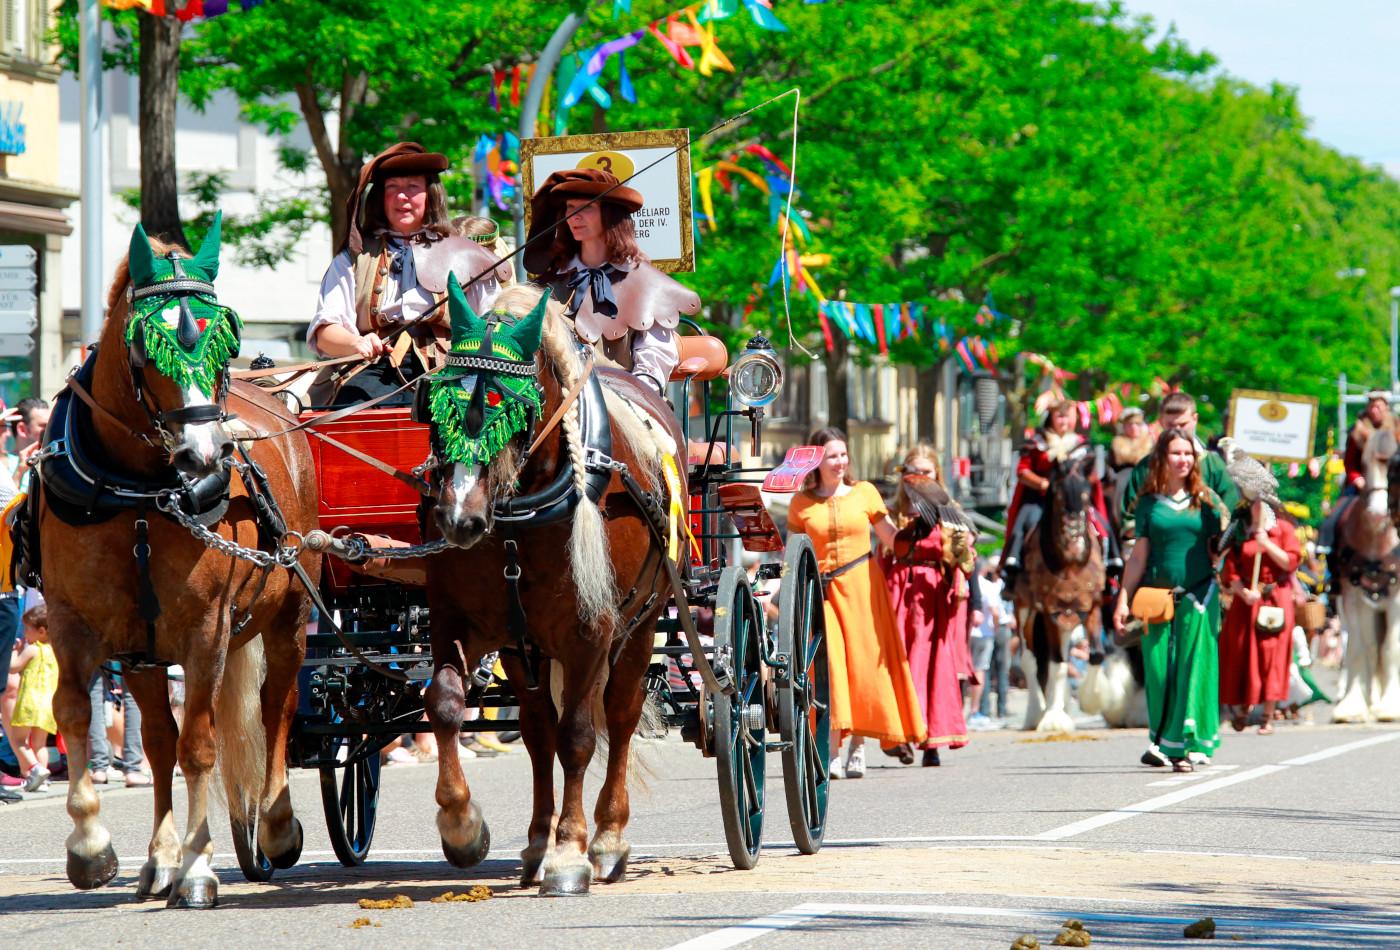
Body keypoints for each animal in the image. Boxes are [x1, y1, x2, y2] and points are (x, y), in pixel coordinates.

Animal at [28, 219, 319, 912]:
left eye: (226, 337)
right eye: (146, 347)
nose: (204, 455)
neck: (135, 493)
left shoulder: (205, 629)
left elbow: (202, 745)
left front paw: (199, 866)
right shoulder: (79, 623)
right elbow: (75, 713)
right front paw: (92, 848)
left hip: (289, 614)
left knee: (277, 706)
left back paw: (274, 825)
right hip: (144, 651)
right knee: (158, 740)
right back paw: (158, 859)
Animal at [414, 278, 677, 895]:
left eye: (509, 405)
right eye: (437, 403)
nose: (459, 519)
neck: (518, 519)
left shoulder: (589, 632)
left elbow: (578, 735)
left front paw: (571, 852)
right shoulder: (462, 622)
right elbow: (445, 704)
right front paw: (463, 827)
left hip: (640, 624)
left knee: (621, 717)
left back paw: (607, 839)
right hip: (523, 648)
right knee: (536, 731)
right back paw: (536, 841)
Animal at [1019, 442, 1103, 733]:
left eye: (1087, 496)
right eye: (1056, 494)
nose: (1075, 545)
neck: (1069, 565)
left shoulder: (1091, 605)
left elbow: (1095, 655)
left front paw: (1090, 699)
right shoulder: (1049, 611)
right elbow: (1055, 664)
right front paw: (1053, 718)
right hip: (1025, 610)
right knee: (1031, 659)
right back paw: (1037, 712)